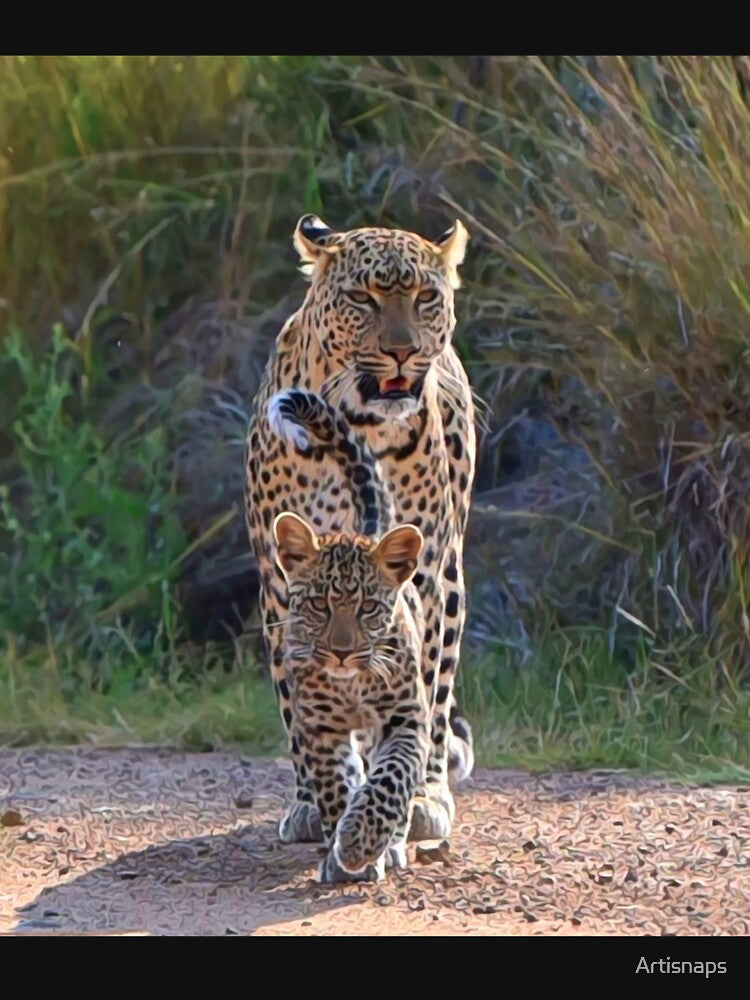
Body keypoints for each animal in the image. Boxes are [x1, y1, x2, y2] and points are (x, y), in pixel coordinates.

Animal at [270, 387, 430, 883]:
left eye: (368, 609)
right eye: (319, 606)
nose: (341, 653)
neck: (353, 684)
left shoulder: (406, 720)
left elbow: (390, 780)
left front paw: (362, 842)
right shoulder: (319, 727)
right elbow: (336, 785)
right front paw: (345, 854)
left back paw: (390, 844)